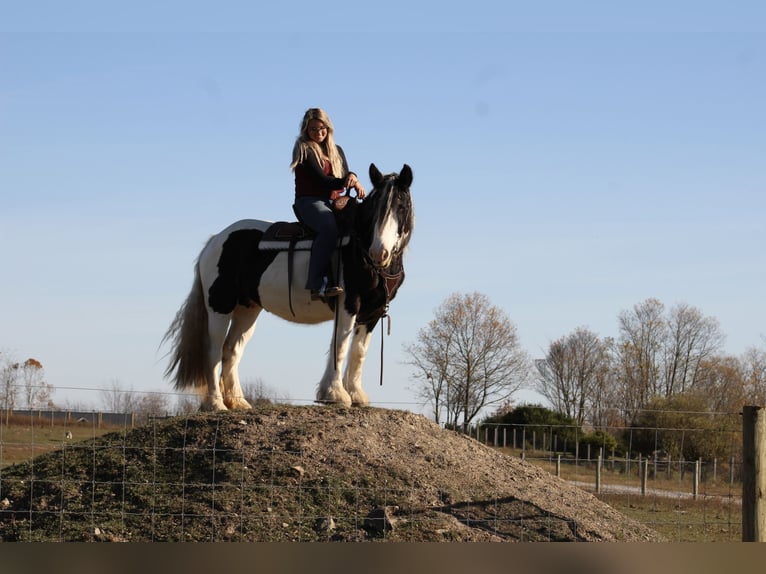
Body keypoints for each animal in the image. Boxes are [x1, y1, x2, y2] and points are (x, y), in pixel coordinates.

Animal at [161, 164, 414, 412]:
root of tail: (215, 240)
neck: (358, 247)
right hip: (220, 306)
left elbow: (358, 351)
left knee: (231, 350)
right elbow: (340, 345)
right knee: (213, 350)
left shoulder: (372, 312)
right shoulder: (348, 303)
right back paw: (216, 404)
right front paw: (334, 394)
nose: (379, 253)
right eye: (374, 208)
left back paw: (238, 402)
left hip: (247, 309)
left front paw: (355, 394)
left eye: (402, 206)